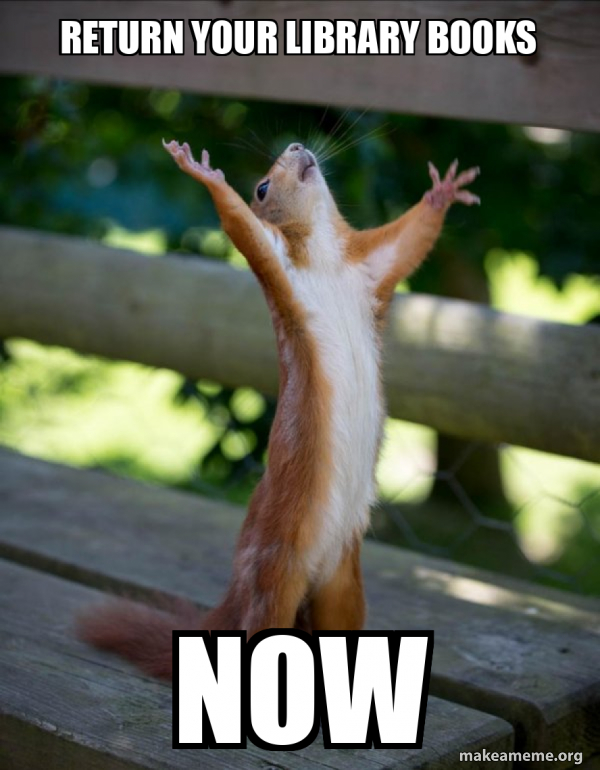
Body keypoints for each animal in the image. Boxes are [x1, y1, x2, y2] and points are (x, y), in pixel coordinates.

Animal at [77, 139, 479, 680]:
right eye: (262, 187)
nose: (296, 146)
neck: (327, 259)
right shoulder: (278, 265)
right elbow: (240, 226)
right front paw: (204, 173)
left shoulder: (372, 266)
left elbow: (410, 239)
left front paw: (442, 193)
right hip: (274, 577)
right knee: (261, 627)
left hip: (343, 589)